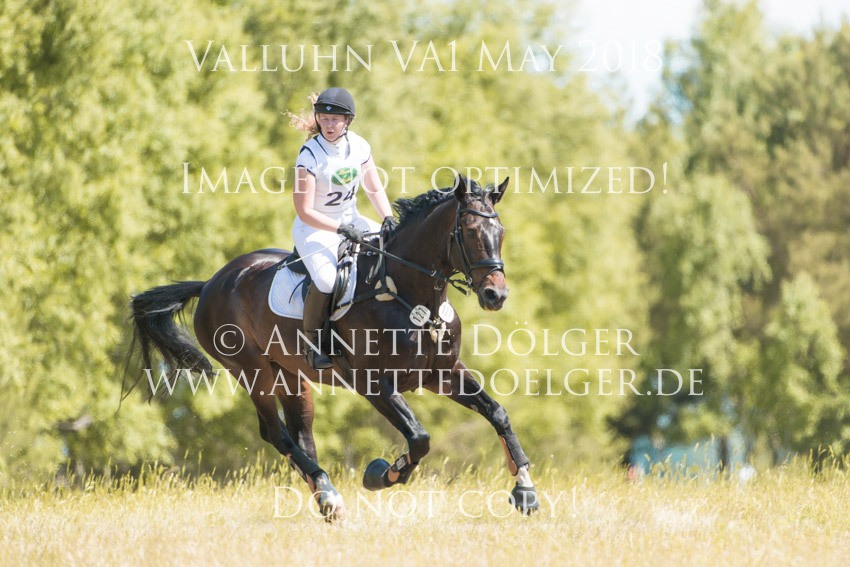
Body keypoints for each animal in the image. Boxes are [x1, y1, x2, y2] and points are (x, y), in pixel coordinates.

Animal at [127, 174, 538, 519]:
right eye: (469, 231)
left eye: (500, 230)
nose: (496, 295)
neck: (410, 295)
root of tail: (212, 282)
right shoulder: (374, 385)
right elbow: (419, 438)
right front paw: (381, 474)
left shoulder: (442, 373)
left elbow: (497, 413)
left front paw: (525, 491)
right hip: (251, 371)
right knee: (275, 433)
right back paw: (329, 496)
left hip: (291, 375)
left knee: (302, 434)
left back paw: (325, 496)